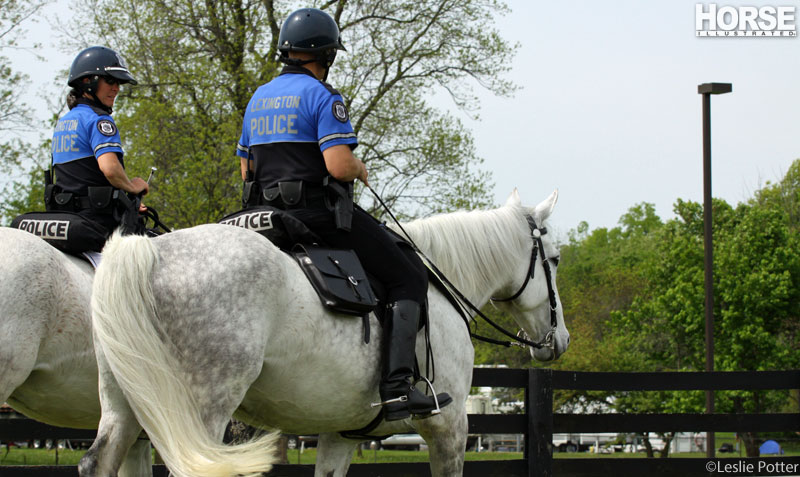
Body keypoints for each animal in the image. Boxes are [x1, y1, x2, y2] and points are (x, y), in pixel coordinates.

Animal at [81, 190, 568, 476]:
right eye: (556, 259)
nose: (559, 340)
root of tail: (150, 252)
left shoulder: (340, 434)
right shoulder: (449, 428)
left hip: (124, 405)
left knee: (99, 461)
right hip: (199, 412)